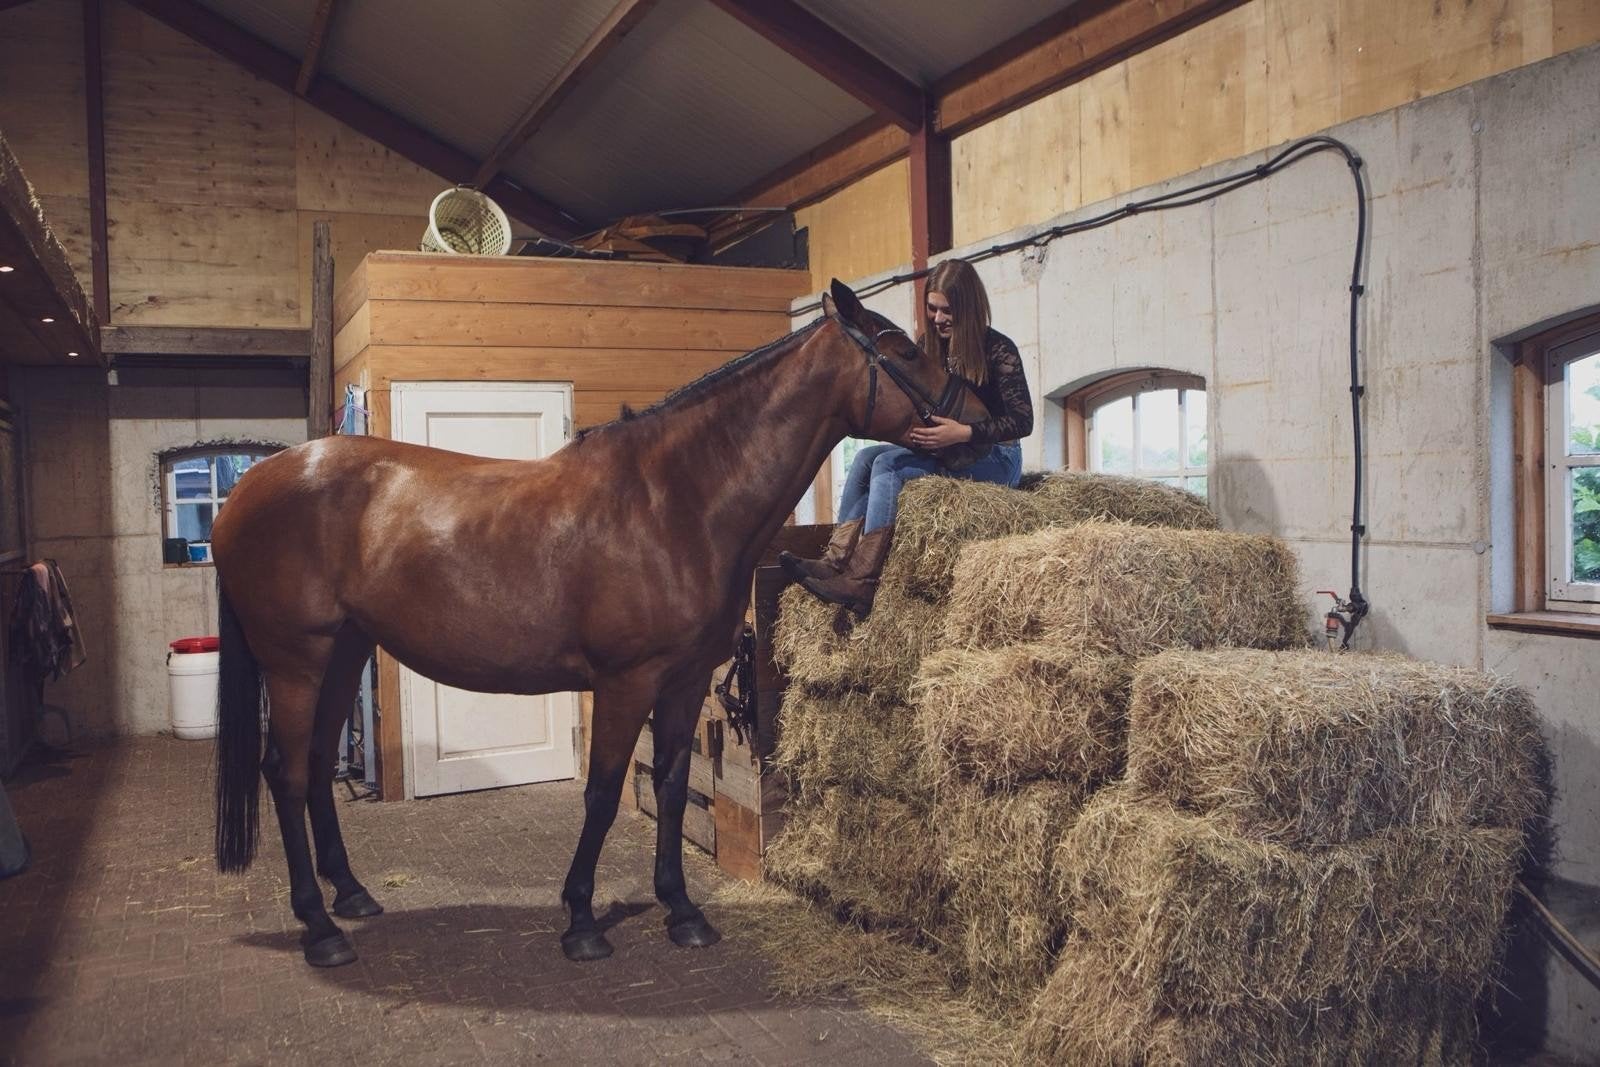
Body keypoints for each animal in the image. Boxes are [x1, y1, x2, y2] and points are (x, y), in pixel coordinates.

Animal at [210, 278, 991, 968]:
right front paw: (582, 921)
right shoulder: (626, 681)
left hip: (344, 654)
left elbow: (671, 784)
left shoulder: (685, 680)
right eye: (903, 348)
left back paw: (351, 895)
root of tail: (248, 488)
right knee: (285, 771)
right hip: (297, 663)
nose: (982, 422)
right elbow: (604, 790)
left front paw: (682, 911)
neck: (675, 502)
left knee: (315, 765)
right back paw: (319, 928)